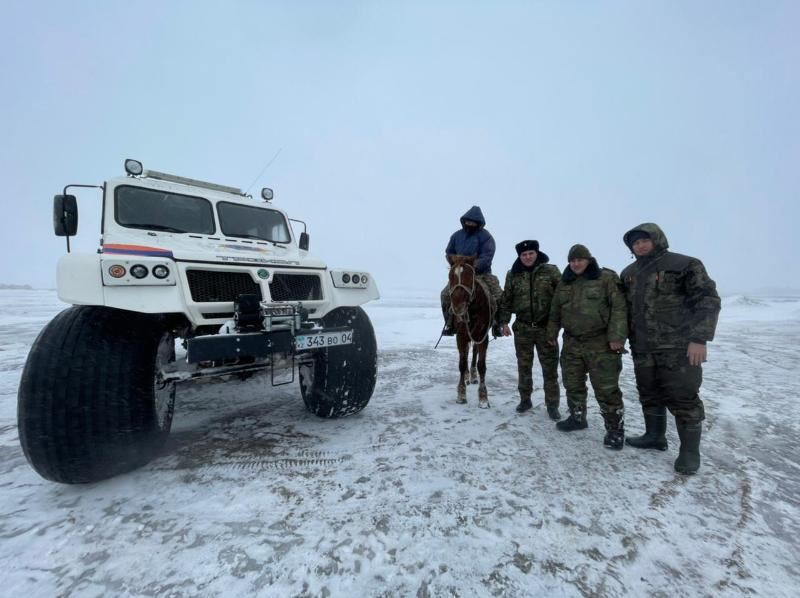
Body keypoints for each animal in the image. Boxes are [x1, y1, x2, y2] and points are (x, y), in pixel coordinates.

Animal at [450, 255, 494, 410]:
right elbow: (462, 363)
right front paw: (461, 395)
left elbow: (482, 365)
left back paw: (473, 376)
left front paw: (483, 398)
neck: (472, 310)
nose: (458, 307)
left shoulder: (482, 336)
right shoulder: (461, 336)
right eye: (450, 277)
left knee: (474, 352)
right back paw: (468, 376)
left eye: (470, 277)